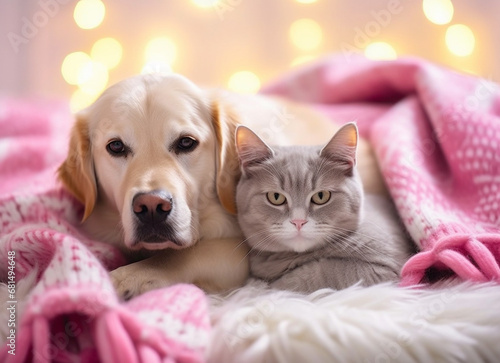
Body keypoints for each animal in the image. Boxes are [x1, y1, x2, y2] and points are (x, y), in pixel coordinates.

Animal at [58, 72, 386, 300]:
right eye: (115, 147)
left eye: (186, 142)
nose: (151, 207)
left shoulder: (239, 252)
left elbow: (184, 254)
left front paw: (131, 275)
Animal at [234, 123, 414, 294]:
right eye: (275, 197)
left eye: (321, 196)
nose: (298, 221)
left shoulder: (384, 269)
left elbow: (321, 271)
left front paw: (266, 288)